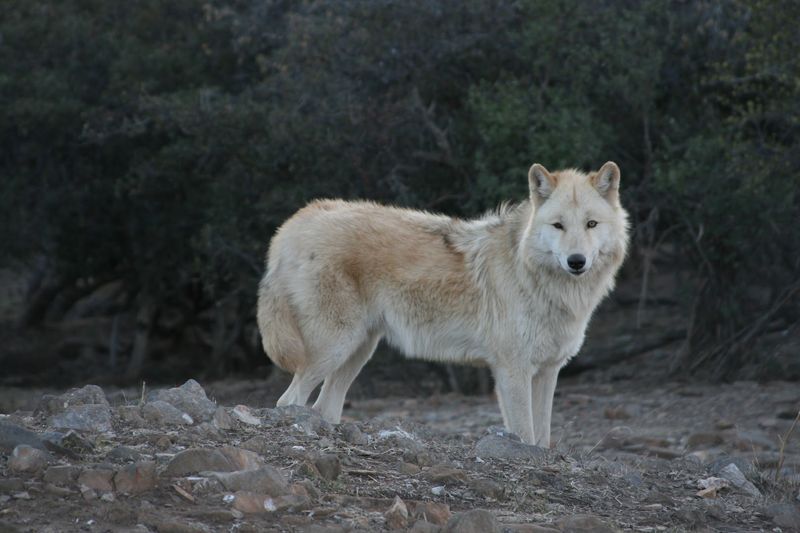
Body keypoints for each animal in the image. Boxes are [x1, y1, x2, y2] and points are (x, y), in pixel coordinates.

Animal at [257, 162, 629, 447]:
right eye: (558, 225)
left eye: (591, 224)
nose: (577, 261)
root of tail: (295, 222)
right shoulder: (513, 370)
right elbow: (525, 433)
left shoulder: (548, 371)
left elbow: (542, 438)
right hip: (335, 347)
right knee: (288, 400)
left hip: (358, 352)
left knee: (325, 407)